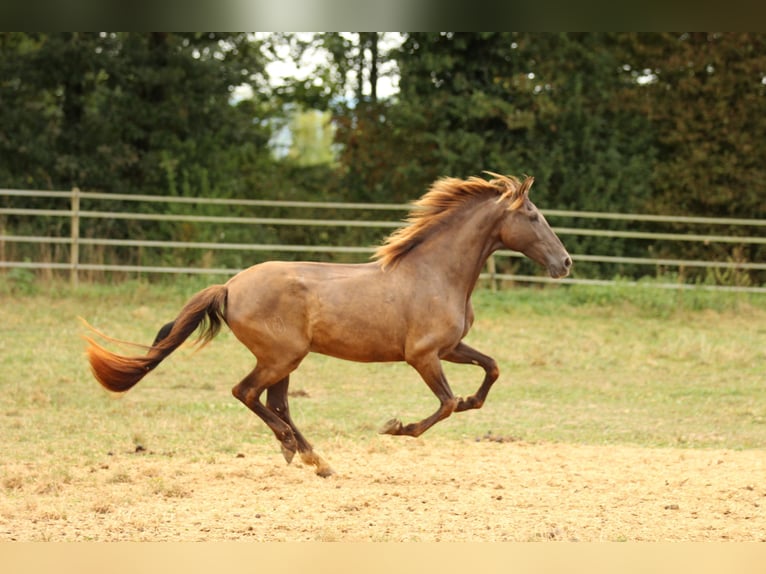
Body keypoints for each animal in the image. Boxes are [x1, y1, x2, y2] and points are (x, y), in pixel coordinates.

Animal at [87, 173, 572, 480]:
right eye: (533, 216)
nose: (565, 263)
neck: (434, 273)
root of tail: (228, 286)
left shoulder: (451, 347)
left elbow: (490, 371)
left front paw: (472, 399)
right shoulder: (422, 356)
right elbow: (447, 403)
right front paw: (395, 427)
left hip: (286, 360)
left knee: (276, 401)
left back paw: (314, 459)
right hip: (282, 356)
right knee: (247, 393)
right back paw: (297, 449)